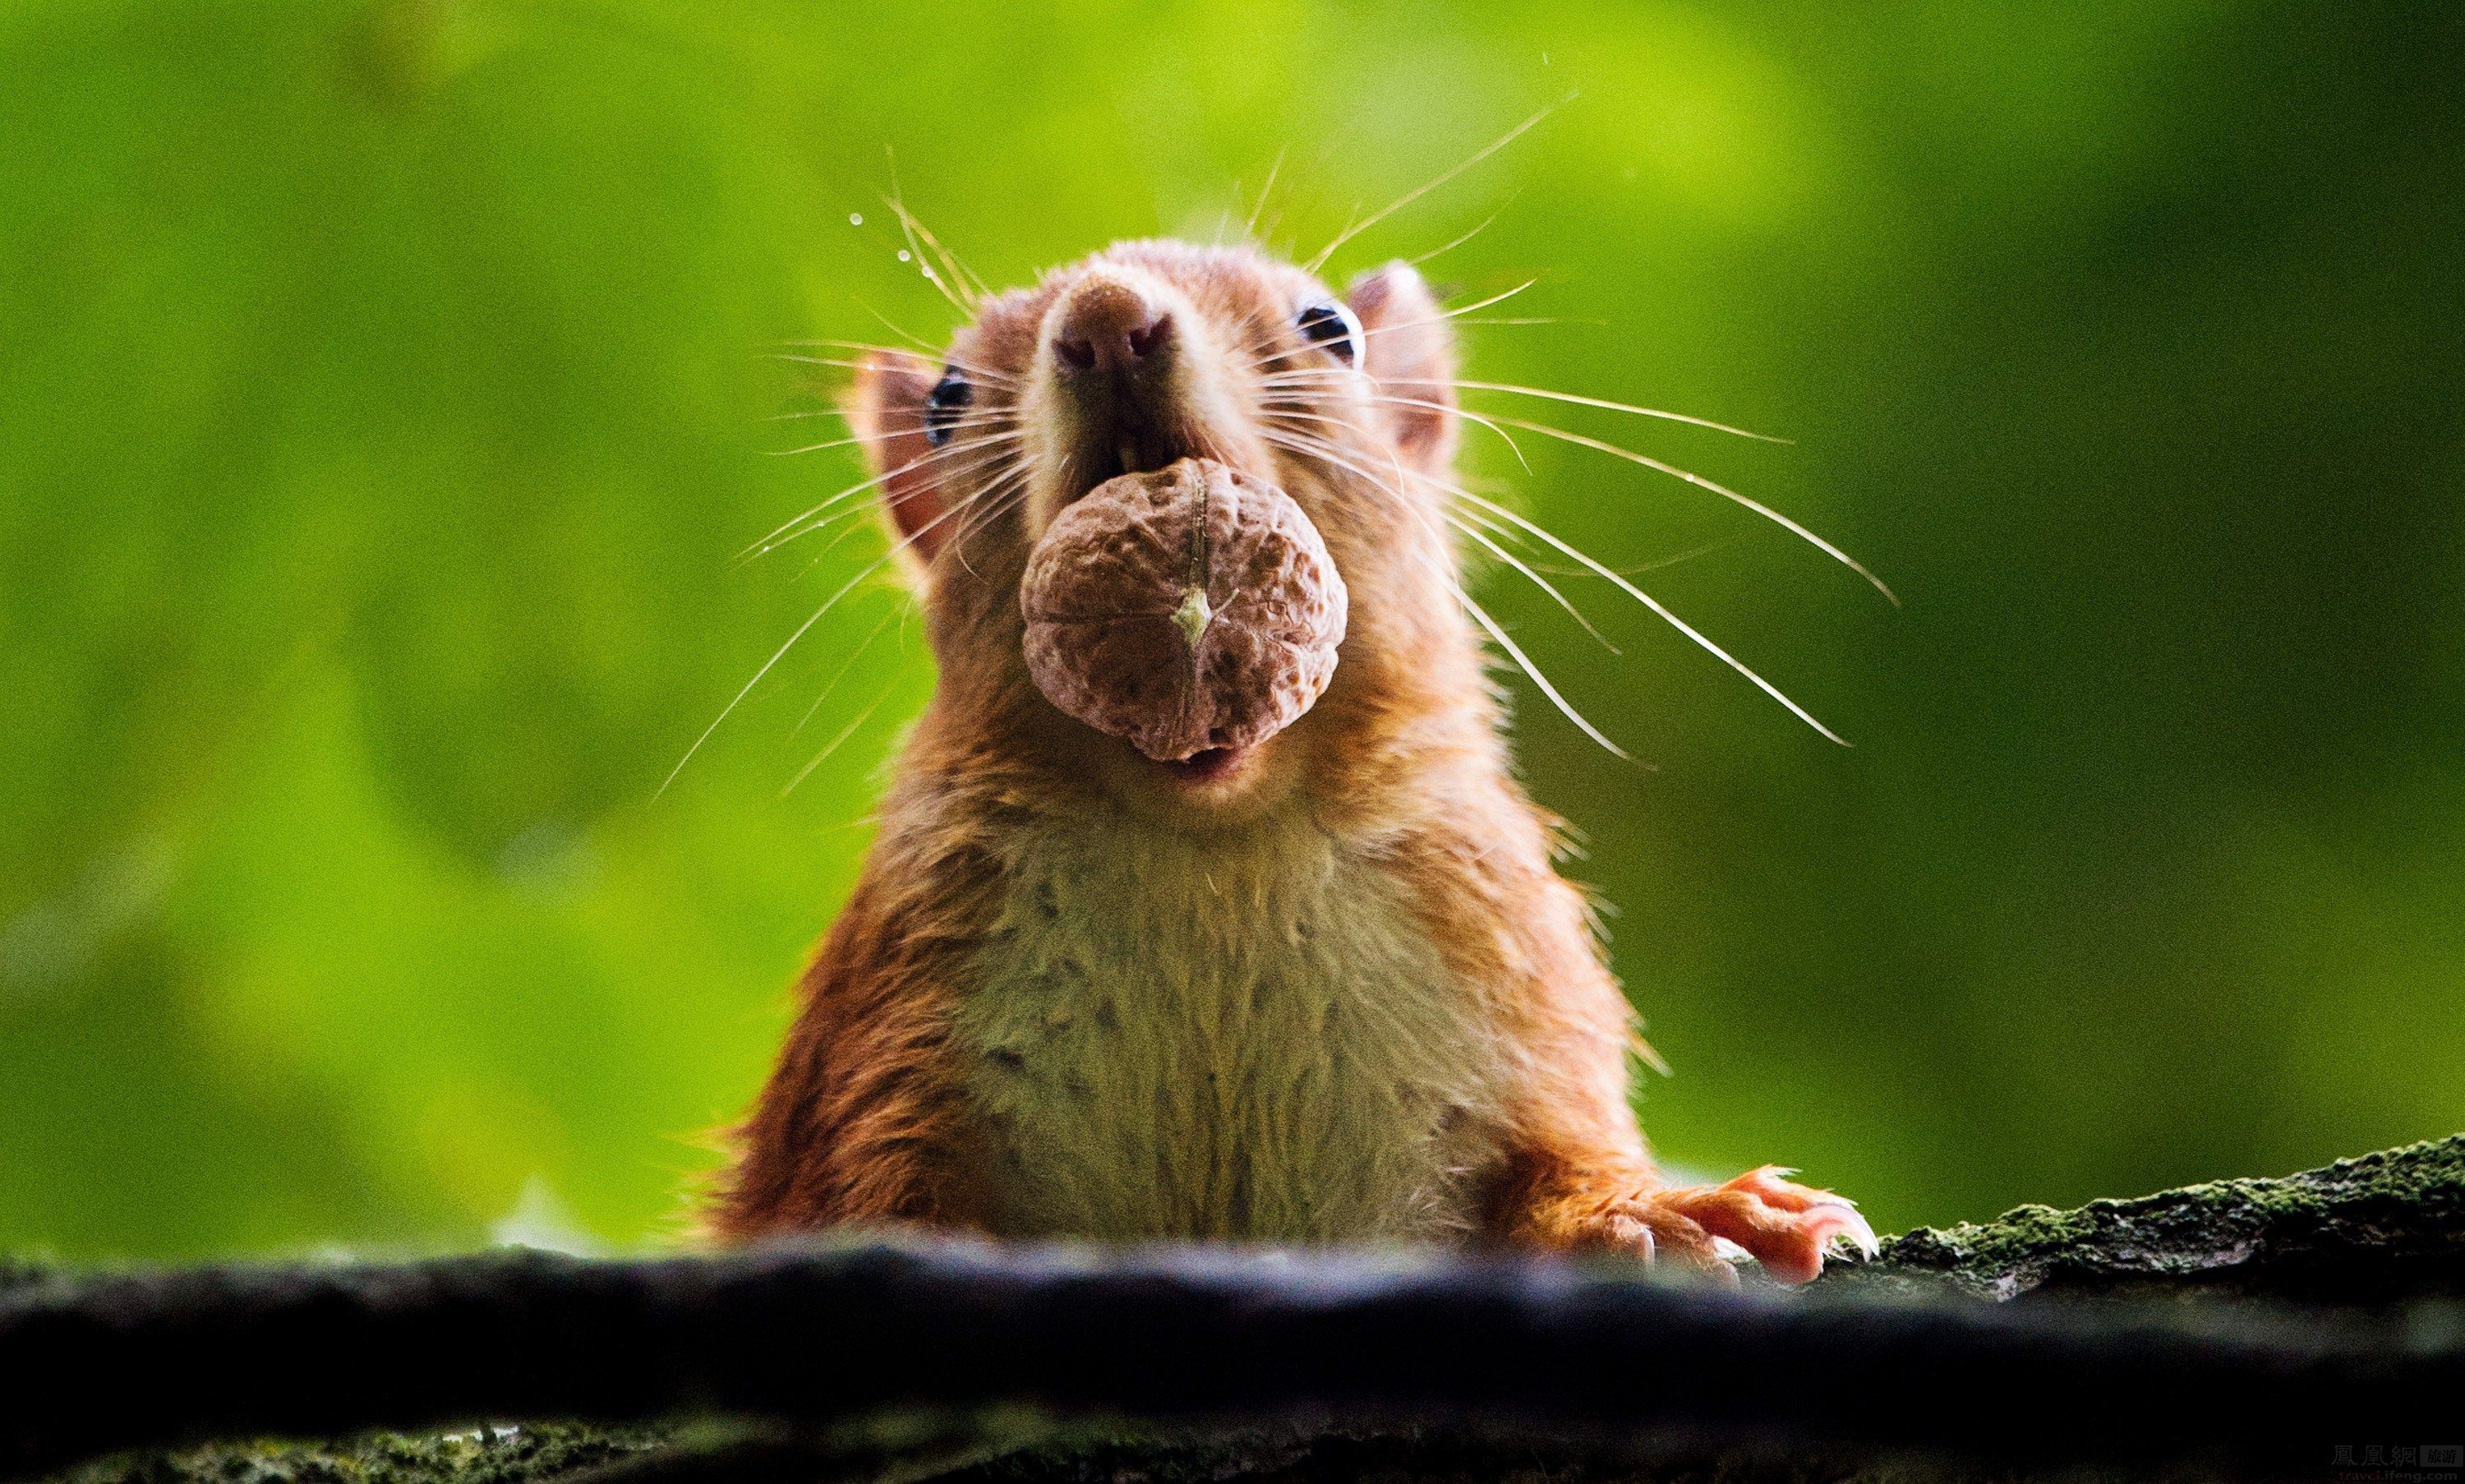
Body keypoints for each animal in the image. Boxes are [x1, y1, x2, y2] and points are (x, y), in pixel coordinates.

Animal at [710, 237, 1864, 1272]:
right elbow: (862, 1194)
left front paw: (1676, 1213)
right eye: (947, 400)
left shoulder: (1505, 969)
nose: (1105, 320)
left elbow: (1549, 1169)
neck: (1214, 849)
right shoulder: (898, 1008)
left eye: (1329, 329)